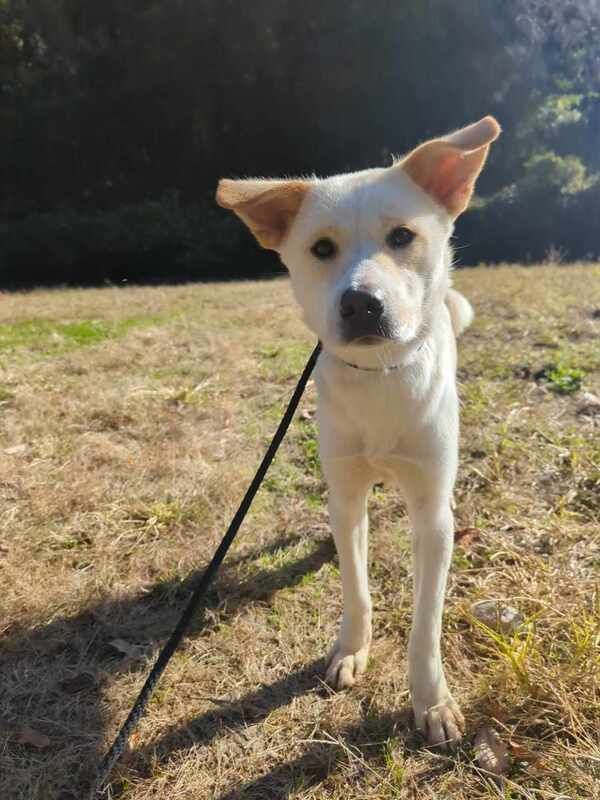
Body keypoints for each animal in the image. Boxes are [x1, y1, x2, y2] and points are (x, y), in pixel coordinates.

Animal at [218, 115, 500, 748]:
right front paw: (351, 649)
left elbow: (425, 623)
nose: (361, 305)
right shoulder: (346, 491)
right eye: (322, 249)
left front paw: (431, 701)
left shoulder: (432, 511)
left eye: (402, 237)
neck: (380, 375)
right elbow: (356, 584)